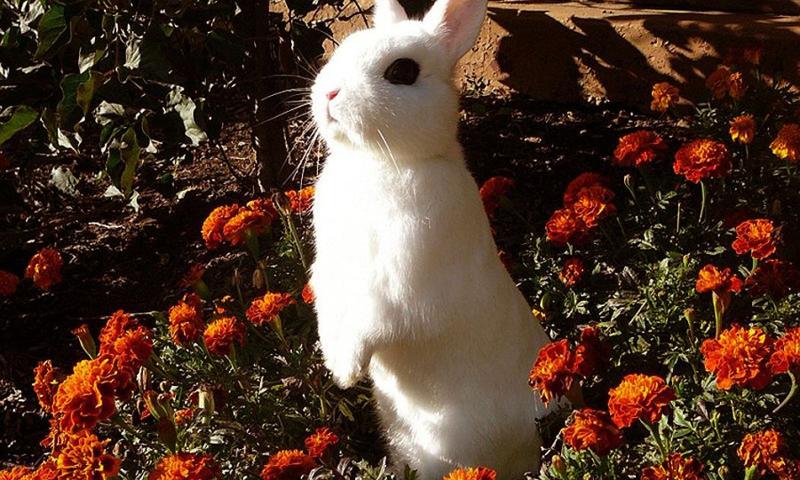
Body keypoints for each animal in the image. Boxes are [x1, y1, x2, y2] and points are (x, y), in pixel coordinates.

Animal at [308, 0, 557, 477]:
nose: (329, 93)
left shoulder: (402, 287)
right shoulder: (330, 273)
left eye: (402, 71)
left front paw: (345, 371)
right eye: (343, 49)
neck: (381, 162)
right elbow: (330, 312)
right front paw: (334, 361)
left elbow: (371, 321)